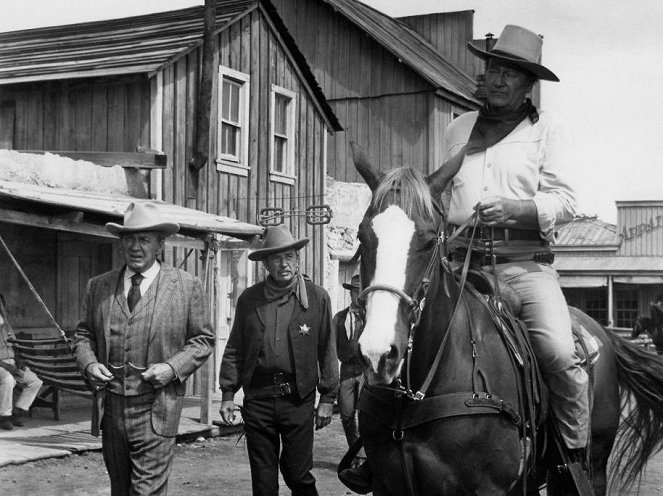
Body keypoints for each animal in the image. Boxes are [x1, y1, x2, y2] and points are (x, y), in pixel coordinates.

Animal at [352, 141, 663, 494]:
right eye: (362, 236)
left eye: (430, 240)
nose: (378, 353)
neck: (417, 396)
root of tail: (603, 332)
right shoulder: (387, 484)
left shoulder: (491, 488)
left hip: (593, 465)